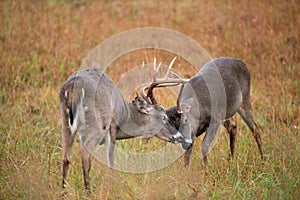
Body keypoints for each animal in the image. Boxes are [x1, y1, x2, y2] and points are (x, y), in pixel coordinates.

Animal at [59, 65, 184, 194]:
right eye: (164, 117)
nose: (179, 136)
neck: (124, 114)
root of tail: (73, 87)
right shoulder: (112, 127)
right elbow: (110, 161)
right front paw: (111, 189)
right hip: (99, 125)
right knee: (84, 153)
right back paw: (88, 192)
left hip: (65, 121)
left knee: (65, 158)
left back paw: (63, 192)